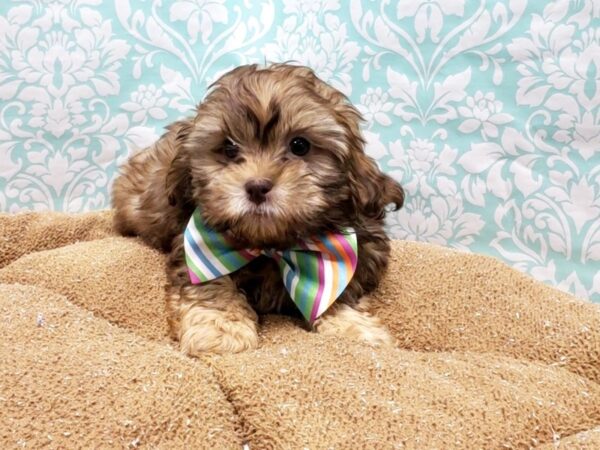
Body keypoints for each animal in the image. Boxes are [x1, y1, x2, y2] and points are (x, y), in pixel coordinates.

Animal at [112, 63, 404, 356]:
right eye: (229, 148)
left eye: (300, 145)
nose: (256, 187)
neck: (271, 245)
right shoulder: (194, 248)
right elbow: (212, 286)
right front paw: (219, 330)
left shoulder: (359, 249)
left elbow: (341, 292)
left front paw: (355, 328)